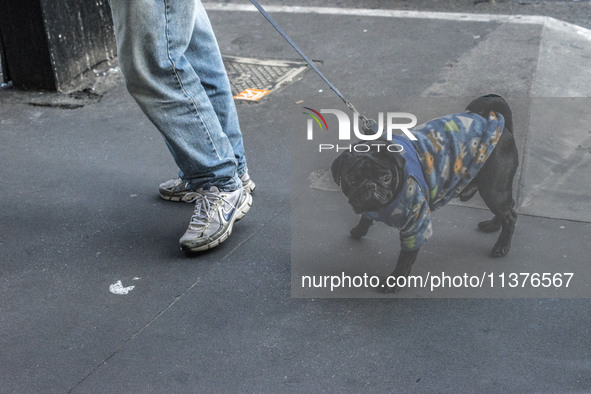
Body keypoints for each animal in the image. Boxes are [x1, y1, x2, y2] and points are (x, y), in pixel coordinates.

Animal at [330, 94, 520, 292]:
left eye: (385, 178)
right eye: (353, 180)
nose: (370, 186)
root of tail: (503, 128)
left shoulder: (416, 225)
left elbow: (405, 257)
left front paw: (395, 280)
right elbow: (365, 217)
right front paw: (359, 230)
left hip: (493, 191)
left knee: (510, 215)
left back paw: (501, 246)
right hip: (495, 190)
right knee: (508, 206)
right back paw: (493, 225)